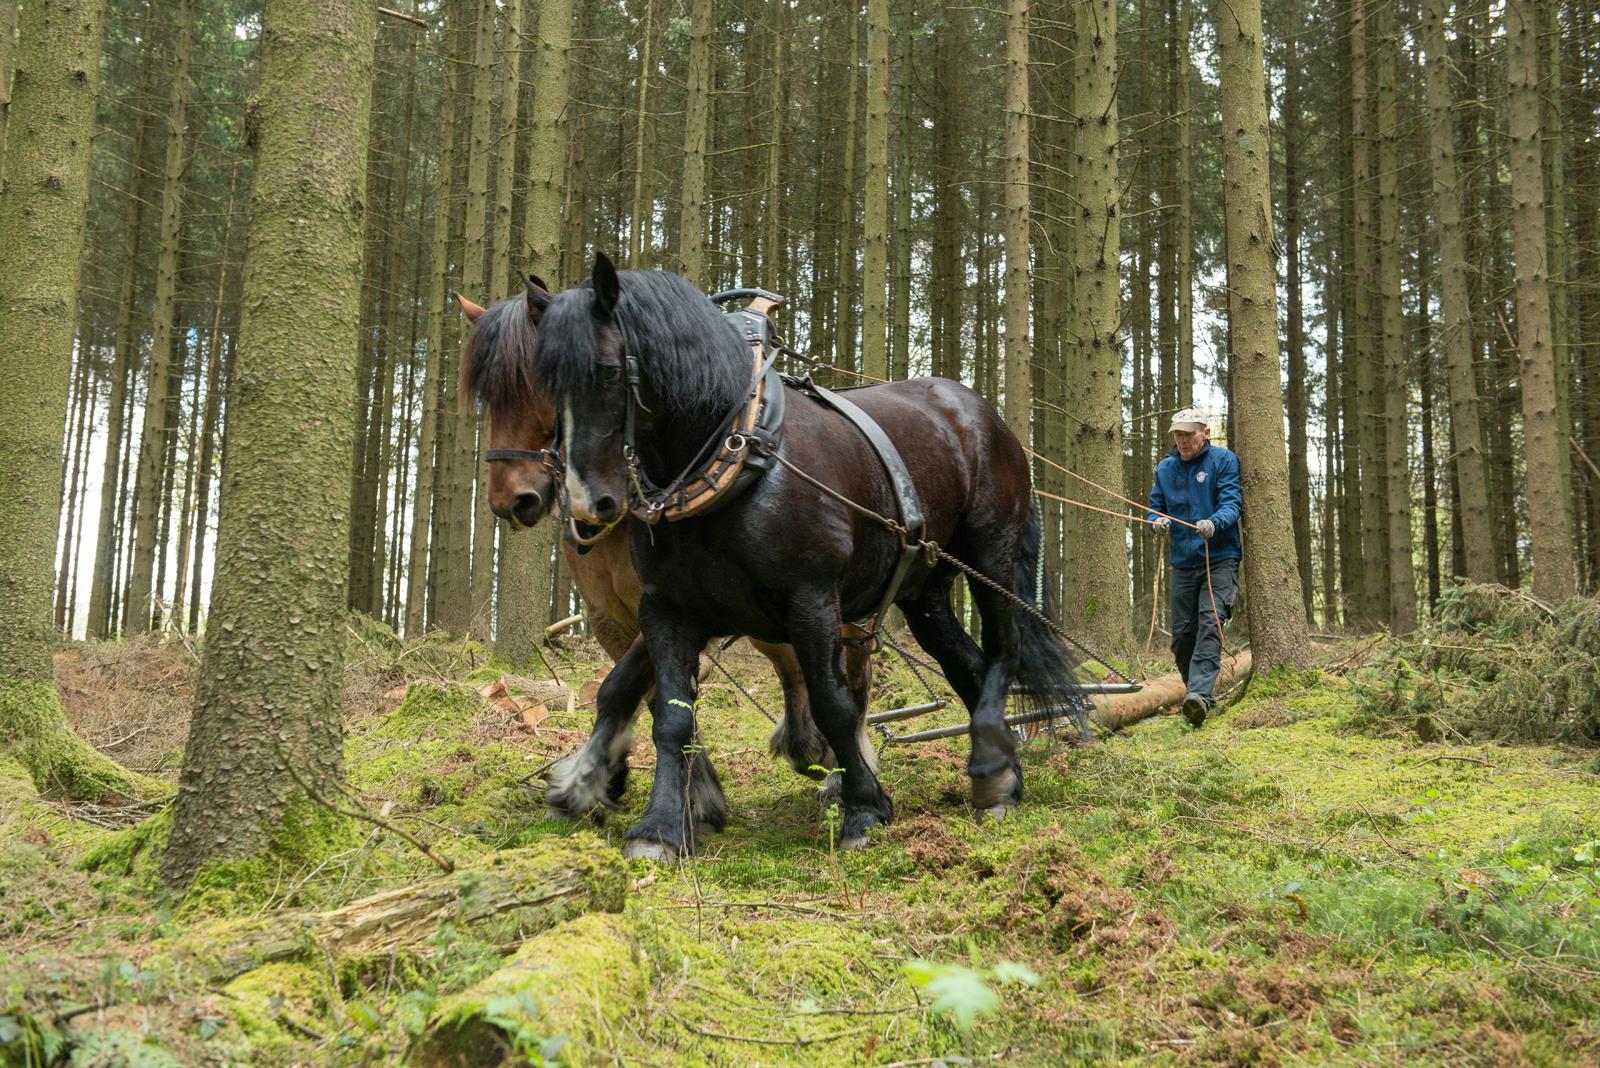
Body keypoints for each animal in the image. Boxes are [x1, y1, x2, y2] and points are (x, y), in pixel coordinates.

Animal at [454, 282, 876, 818]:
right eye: (488, 396)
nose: (512, 500)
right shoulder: (609, 617)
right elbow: (650, 695)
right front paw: (627, 779)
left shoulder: (671, 604)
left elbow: (629, 687)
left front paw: (680, 792)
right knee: (789, 662)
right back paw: (806, 745)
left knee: (854, 677)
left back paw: (843, 775)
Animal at [534, 254, 1075, 863]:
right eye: (543, 383)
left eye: (607, 372)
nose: (587, 505)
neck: (738, 453)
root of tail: (986, 415)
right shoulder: (667, 610)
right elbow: (670, 717)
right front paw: (658, 826)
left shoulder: (811, 601)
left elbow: (833, 705)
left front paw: (864, 810)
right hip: (923, 589)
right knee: (968, 666)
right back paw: (1001, 773)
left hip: (990, 556)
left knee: (1004, 651)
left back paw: (989, 768)